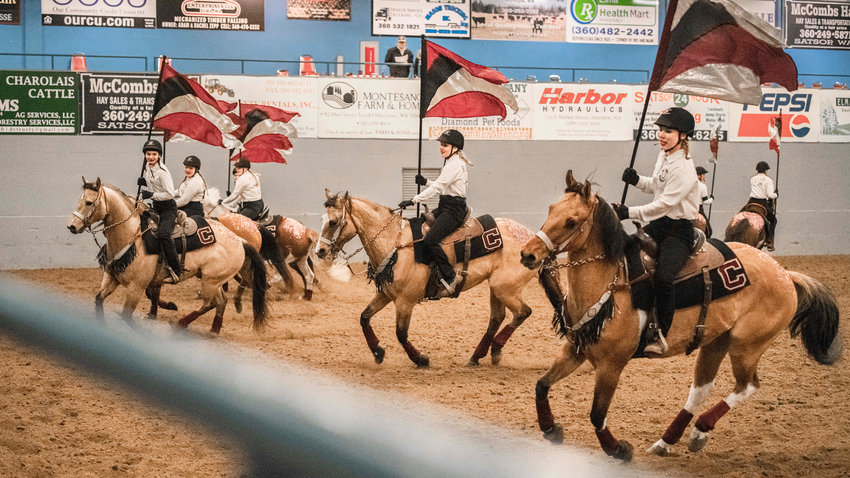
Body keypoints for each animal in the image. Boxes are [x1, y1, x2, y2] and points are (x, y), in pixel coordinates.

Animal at [67, 178, 266, 332]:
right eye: (79, 200)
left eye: (89, 203)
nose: (72, 226)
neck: (131, 235)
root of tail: (240, 240)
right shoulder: (112, 277)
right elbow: (99, 300)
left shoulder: (137, 286)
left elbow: (127, 315)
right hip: (212, 278)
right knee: (221, 300)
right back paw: (214, 329)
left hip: (211, 280)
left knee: (210, 303)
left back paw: (180, 323)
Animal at [314, 190, 540, 366]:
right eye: (323, 219)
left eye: (334, 222)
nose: (320, 251)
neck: (396, 245)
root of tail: (532, 238)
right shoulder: (385, 295)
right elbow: (364, 317)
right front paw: (378, 352)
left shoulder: (405, 301)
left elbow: (401, 333)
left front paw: (420, 359)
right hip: (497, 288)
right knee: (497, 318)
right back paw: (478, 356)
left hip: (505, 288)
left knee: (523, 312)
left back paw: (495, 348)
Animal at [512, 170, 840, 462]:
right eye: (551, 209)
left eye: (571, 221)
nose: (528, 254)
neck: (611, 283)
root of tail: (785, 274)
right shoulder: (576, 349)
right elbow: (541, 385)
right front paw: (551, 429)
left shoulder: (611, 365)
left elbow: (597, 415)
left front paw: (619, 450)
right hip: (715, 342)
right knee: (701, 390)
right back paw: (666, 442)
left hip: (747, 346)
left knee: (747, 386)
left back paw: (699, 431)